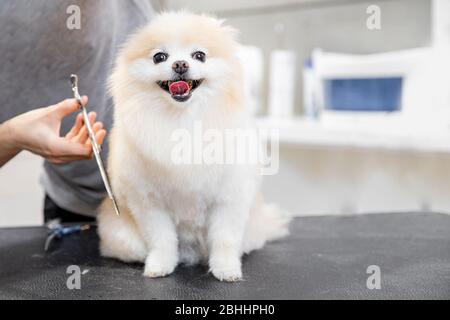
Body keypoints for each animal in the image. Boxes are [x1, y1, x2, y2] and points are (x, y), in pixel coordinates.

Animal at [96, 11, 290, 282]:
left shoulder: (229, 197)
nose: (180, 64)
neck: (183, 119)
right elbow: (161, 239)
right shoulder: (148, 202)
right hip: (123, 237)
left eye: (199, 55)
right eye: (159, 57)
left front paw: (226, 269)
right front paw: (160, 265)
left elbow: (225, 238)